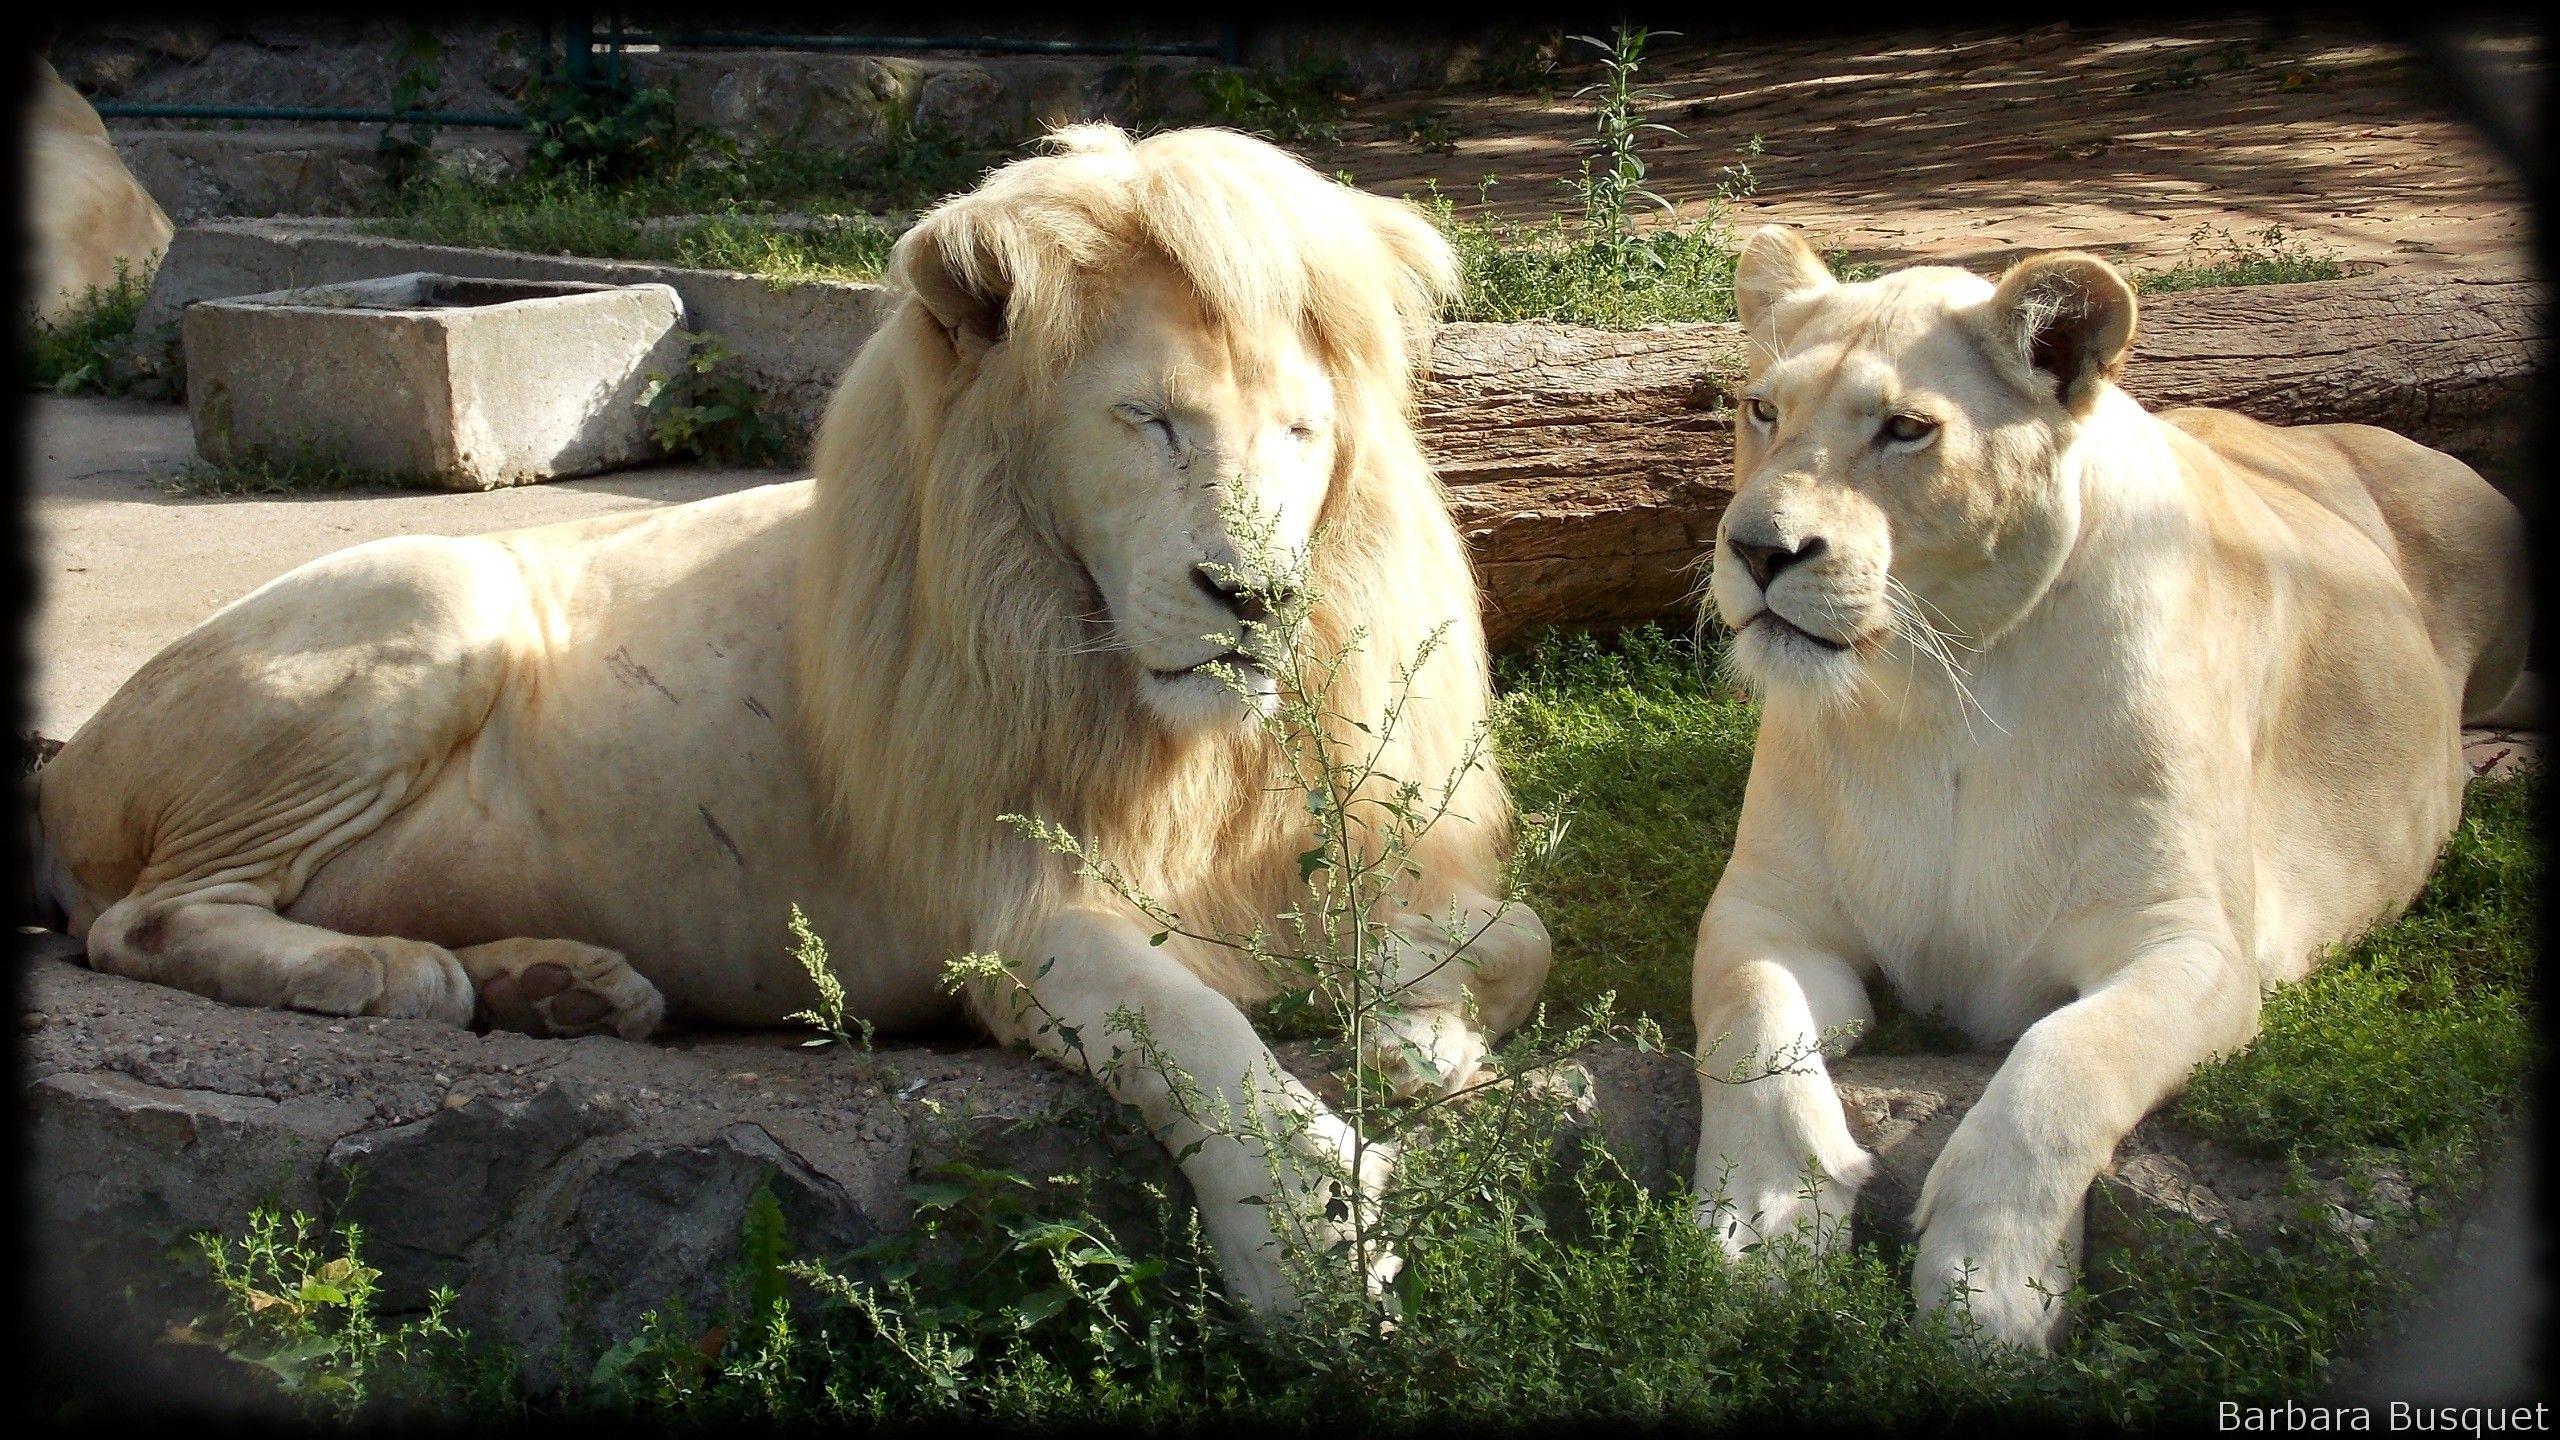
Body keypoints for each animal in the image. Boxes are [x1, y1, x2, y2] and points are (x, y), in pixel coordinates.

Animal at [29, 125, 1552, 1318]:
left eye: (1300, 433)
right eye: (1148, 420)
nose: (1253, 598)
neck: (1187, 733)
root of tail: (65, 770)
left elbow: (1510, 940)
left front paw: (1420, 1037)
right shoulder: (1010, 915)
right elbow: (1194, 1032)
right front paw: (1309, 1240)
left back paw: (559, 987)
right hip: (433, 593)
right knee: (142, 922)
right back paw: (389, 976)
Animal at [1685, 224, 2532, 1348]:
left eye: (1907, 429)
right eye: (1763, 410)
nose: (1756, 549)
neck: (1943, 687)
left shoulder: (2191, 944)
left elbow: (2062, 1065)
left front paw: (1987, 1288)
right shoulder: (1769, 911)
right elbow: (1752, 1032)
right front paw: (1759, 1224)